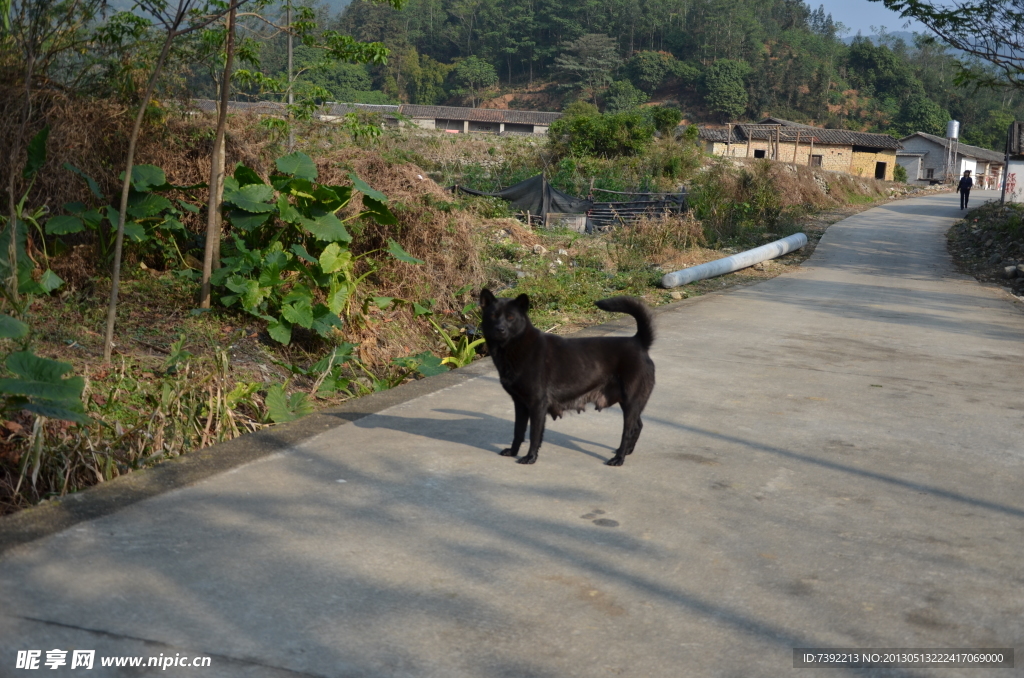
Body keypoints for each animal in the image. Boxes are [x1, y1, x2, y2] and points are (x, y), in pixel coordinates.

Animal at [479, 286, 655, 467]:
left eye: (511, 317)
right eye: (493, 316)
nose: (500, 330)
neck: (514, 346)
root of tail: (639, 342)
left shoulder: (537, 404)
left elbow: (534, 435)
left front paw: (530, 457)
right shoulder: (520, 404)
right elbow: (518, 431)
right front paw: (513, 451)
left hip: (631, 400)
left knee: (628, 430)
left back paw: (619, 458)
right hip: (629, 402)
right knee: (638, 425)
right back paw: (626, 452)